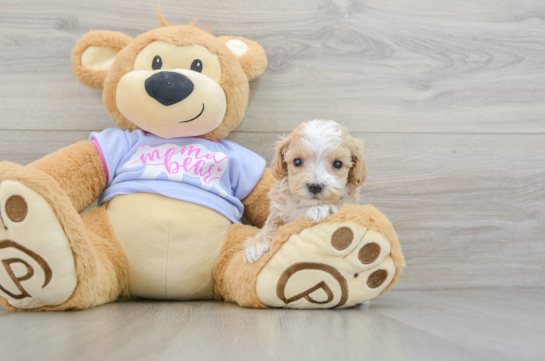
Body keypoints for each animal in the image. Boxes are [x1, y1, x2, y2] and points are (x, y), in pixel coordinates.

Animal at [244, 119, 368, 262]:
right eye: (297, 161)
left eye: (338, 164)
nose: (315, 186)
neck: (306, 205)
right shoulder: (279, 211)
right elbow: (271, 224)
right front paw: (257, 244)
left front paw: (320, 209)